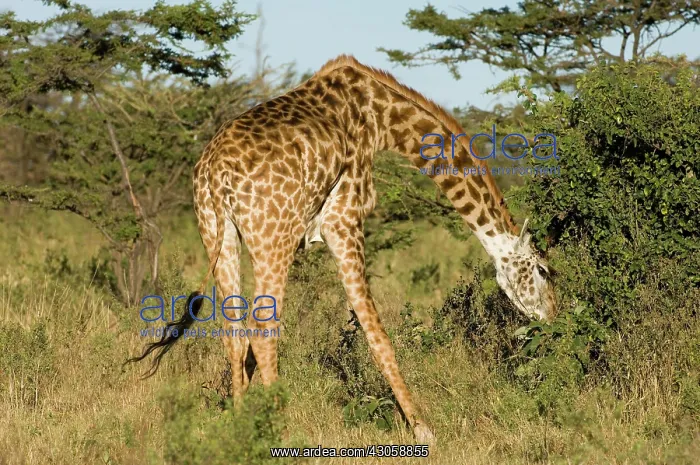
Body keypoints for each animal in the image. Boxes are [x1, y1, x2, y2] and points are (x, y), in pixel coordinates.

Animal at [132, 54, 557, 443]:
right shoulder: (345, 218)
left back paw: (241, 428)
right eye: (543, 271)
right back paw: (281, 433)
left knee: (234, 332)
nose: (553, 318)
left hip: (218, 234)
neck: (380, 117)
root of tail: (215, 174)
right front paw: (422, 428)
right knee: (264, 330)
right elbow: (376, 333)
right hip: (274, 238)